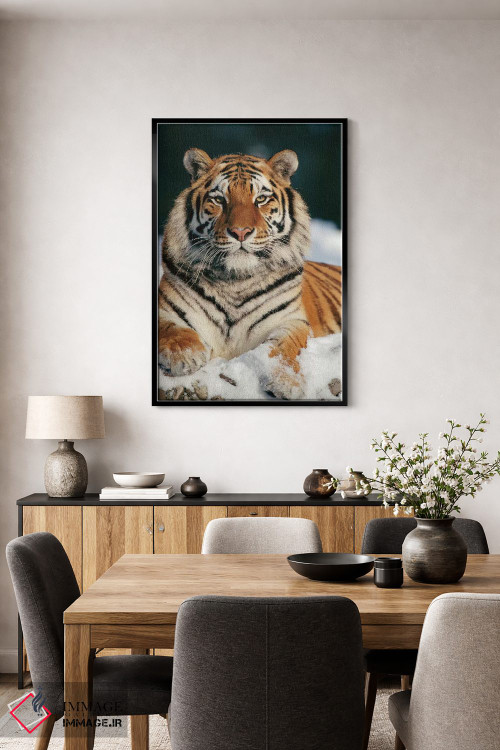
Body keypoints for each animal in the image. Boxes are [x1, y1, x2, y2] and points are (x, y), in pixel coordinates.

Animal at [158, 147, 342, 399]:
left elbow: (286, 348)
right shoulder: (165, 310)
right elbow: (170, 328)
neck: (235, 279)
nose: (240, 232)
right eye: (219, 200)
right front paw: (183, 355)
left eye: (261, 199)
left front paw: (286, 382)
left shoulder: (292, 321)